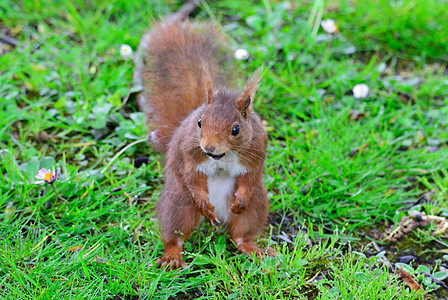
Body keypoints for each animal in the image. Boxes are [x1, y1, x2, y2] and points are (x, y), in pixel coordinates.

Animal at [141, 20, 272, 270]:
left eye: (235, 129)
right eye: (200, 122)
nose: (209, 148)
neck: (223, 157)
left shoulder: (255, 153)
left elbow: (250, 179)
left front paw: (242, 198)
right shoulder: (189, 155)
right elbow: (192, 177)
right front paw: (202, 200)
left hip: (255, 206)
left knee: (241, 233)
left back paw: (253, 248)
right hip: (179, 202)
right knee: (176, 232)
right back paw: (172, 255)